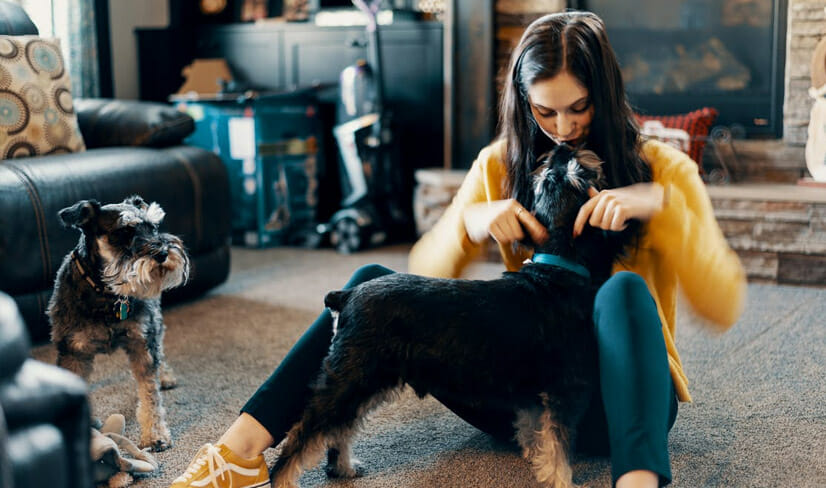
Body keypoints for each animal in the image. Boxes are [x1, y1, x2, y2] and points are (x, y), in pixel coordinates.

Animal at [48, 194, 190, 450]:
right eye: (124, 231)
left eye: (154, 227)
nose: (164, 252)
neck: (105, 291)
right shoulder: (73, 352)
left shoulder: (142, 341)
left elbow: (150, 392)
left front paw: (155, 434)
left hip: (154, 322)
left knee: (160, 346)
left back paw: (164, 375)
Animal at [268, 145, 636, 488]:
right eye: (575, 173)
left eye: (555, 174)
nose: (562, 149)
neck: (557, 269)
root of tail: (345, 296)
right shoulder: (563, 393)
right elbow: (558, 447)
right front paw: (560, 480)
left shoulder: (534, 396)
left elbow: (538, 436)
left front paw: (536, 462)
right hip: (352, 379)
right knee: (305, 433)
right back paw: (285, 478)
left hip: (366, 382)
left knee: (338, 431)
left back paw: (343, 468)